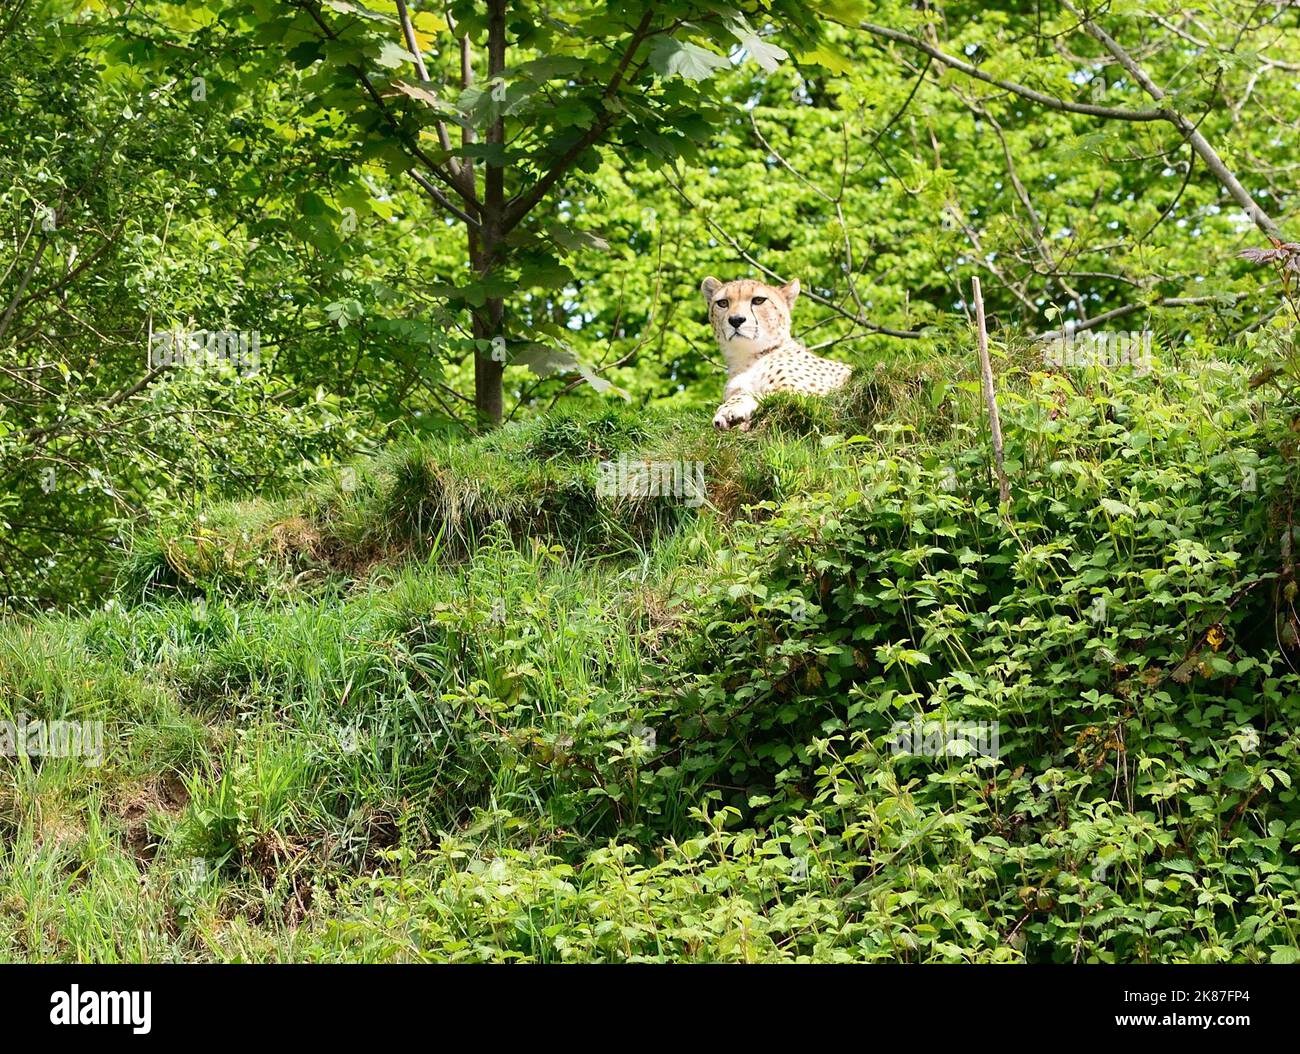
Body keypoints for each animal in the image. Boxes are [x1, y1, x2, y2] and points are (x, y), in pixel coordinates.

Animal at [701, 275, 852, 431]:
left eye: (758, 300)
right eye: (723, 303)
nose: (736, 320)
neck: (747, 358)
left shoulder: (808, 392)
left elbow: (768, 395)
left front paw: (732, 410)